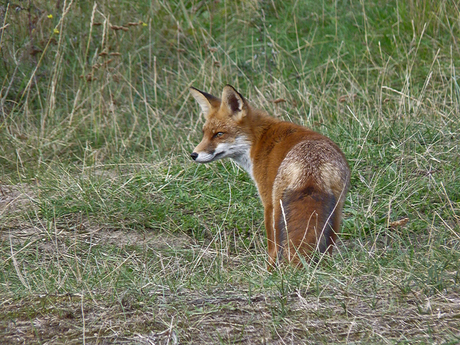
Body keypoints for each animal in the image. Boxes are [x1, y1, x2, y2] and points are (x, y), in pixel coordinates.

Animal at [189, 84, 350, 268]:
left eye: (219, 134)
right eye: (204, 133)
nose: (193, 155)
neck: (258, 141)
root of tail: (311, 166)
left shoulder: (267, 202)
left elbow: (272, 245)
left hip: (279, 207)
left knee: (277, 246)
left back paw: (271, 270)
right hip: (336, 210)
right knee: (328, 245)